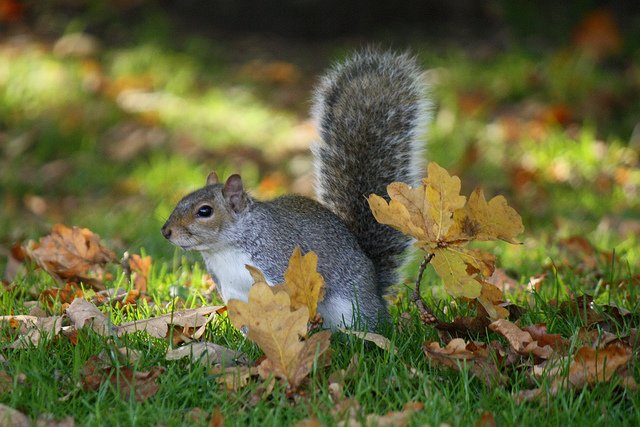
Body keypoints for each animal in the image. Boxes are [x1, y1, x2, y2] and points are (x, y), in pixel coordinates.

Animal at [160, 50, 430, 332]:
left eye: (205, 211)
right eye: (181, 200)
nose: (166, 231)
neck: (226, 249)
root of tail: (376, 293)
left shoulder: (280, 268)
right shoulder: (233, 292)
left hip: (352, 306)